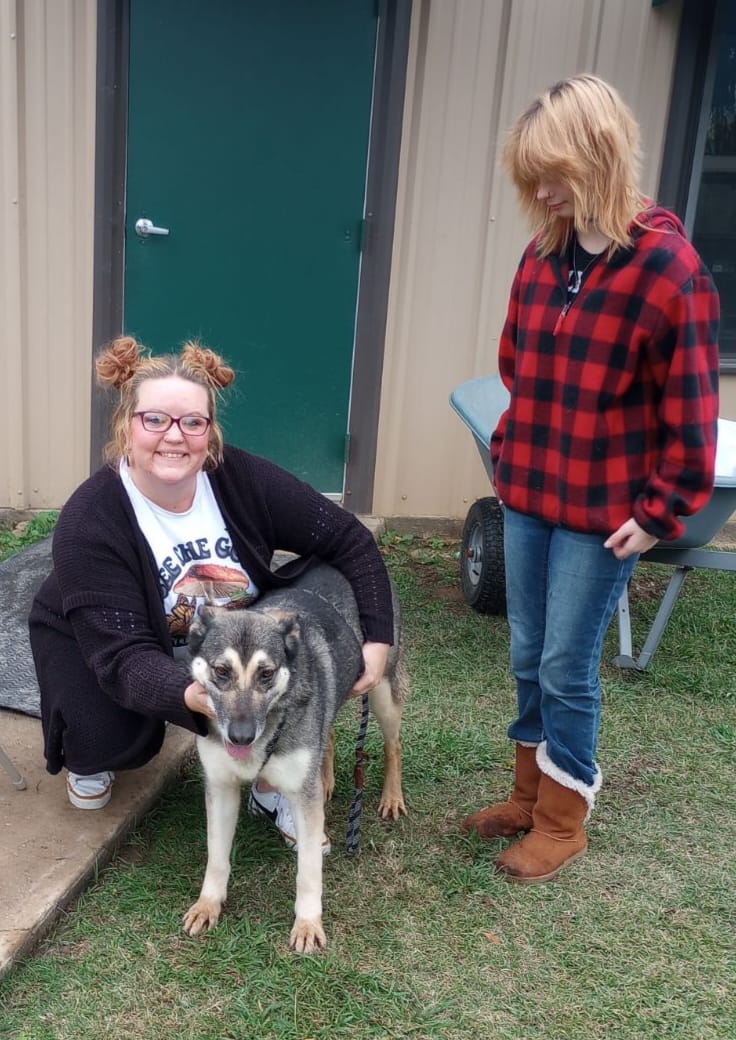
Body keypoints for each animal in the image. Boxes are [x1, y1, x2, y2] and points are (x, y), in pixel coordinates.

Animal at [180, 561, 405, 952]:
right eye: (221, 671)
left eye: (266, 674)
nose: (241, 736)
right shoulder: (221, 787)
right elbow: (216, 856)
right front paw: (208, 904)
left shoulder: (305, 802)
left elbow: (308, 870)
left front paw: (308, 924)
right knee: (328, 732)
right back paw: (327, 779)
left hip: (381, 691)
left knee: (393, 744)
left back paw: (392, 797)